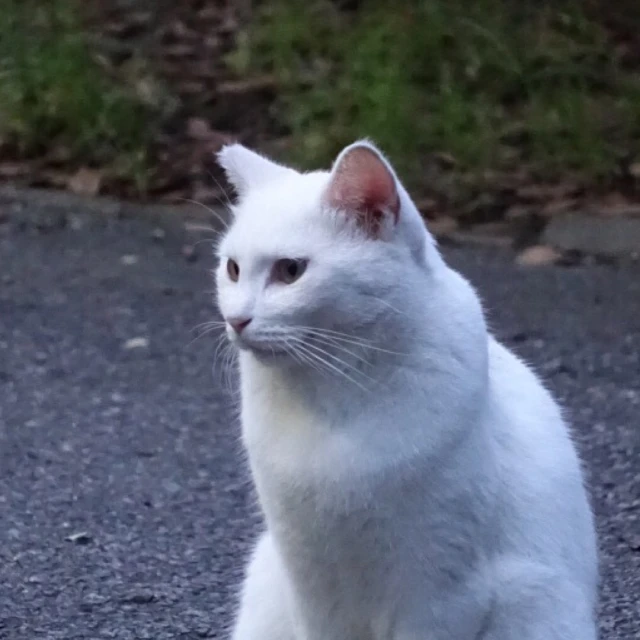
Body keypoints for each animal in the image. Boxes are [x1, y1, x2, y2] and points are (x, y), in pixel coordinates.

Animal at [215, 141, 600, 640]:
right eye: (232, 269)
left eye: (291, 271)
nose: (236, 320)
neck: (332, 393)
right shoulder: (313, 588)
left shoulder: (441, 591)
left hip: (535, 600)